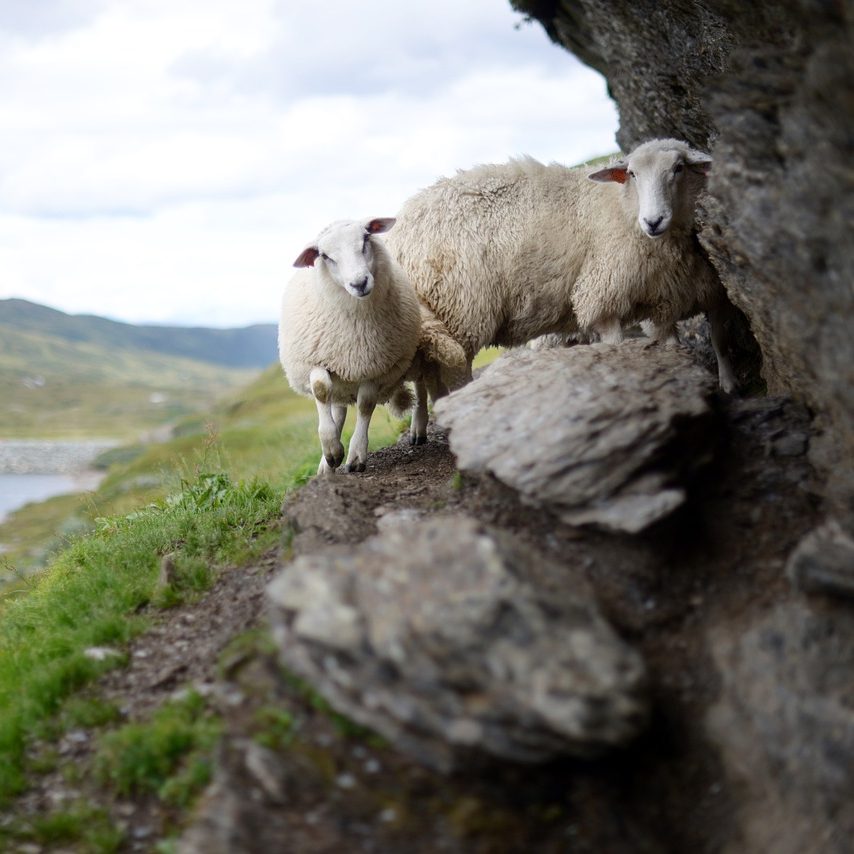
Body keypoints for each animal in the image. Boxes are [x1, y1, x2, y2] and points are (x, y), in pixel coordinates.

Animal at [278, 218, 422, 474]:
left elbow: (365, 405)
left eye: (365, 238)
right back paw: (327, 464)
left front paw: (355, 454)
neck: (355, 329)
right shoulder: (317, 358)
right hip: (341, 375)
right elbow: (321, 389)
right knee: (337, 406)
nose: (359, 283)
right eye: (324, 256)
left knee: (422, 384)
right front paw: (331, 449)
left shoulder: (375, 367)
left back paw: (419, 428)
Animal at [384, 138, 737, 393]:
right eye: (632, 174)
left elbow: (712, 342)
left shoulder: (678, 297)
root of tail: (399, 231)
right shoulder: (602, 295)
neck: (624, 208)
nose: (653, 221)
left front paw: (726, 386)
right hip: (460, 310)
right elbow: (616, 348)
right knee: (452, 374)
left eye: (679, 168)